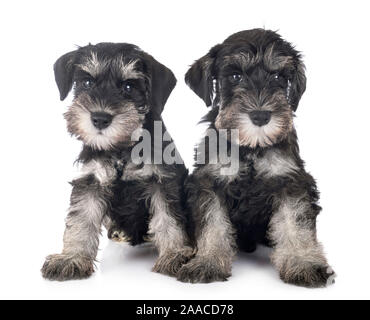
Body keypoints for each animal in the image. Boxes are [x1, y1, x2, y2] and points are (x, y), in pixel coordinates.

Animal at [42, 42, 194, 280]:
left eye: (129, 87)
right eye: (87, 82)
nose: (100, 118)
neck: (120, 148)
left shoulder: (161, 181)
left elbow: (168, 218)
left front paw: (175, 254)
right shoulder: (91, 181)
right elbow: (81, 220)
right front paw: (71, 258)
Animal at [177, 28, 336, 288]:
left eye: (279, 76)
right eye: (235, 76)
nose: (260, 116)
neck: (251, 148)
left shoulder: (291, 182)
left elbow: (295, 224)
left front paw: (303, 264)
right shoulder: (209, 183)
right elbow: (213, 225)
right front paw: (207, 262)